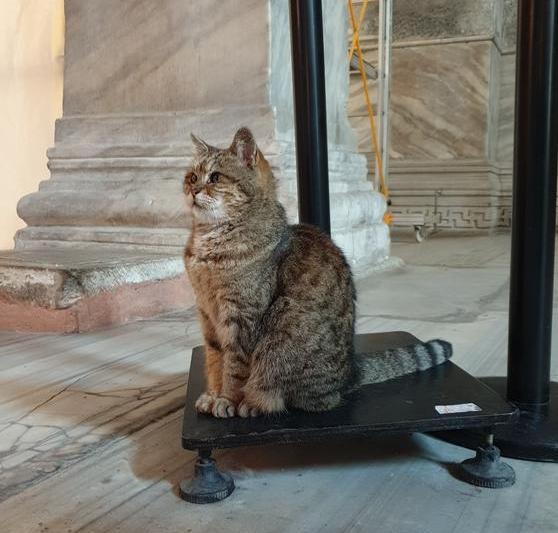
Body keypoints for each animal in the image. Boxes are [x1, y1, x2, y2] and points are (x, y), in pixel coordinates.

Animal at [185, 128, 456, 416]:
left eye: (215, 177)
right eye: (191, 177)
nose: (193, 190)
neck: (208, 241)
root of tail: (351, 372)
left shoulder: (240, 319)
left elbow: (234, 369)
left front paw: (227, 400)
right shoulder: (208, 318)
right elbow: (215, 362)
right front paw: (213, 395)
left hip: (281, 331)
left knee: (296, 398)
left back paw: (253, 404)